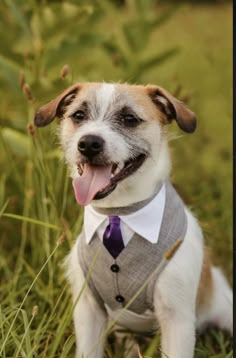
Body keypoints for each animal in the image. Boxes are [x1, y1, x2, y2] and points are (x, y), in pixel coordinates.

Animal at [34, 82, 233, 356]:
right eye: (79, 115)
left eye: (129, 119)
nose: (89, 143)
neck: (119, 214)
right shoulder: (88, 311)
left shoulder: (177, 318)